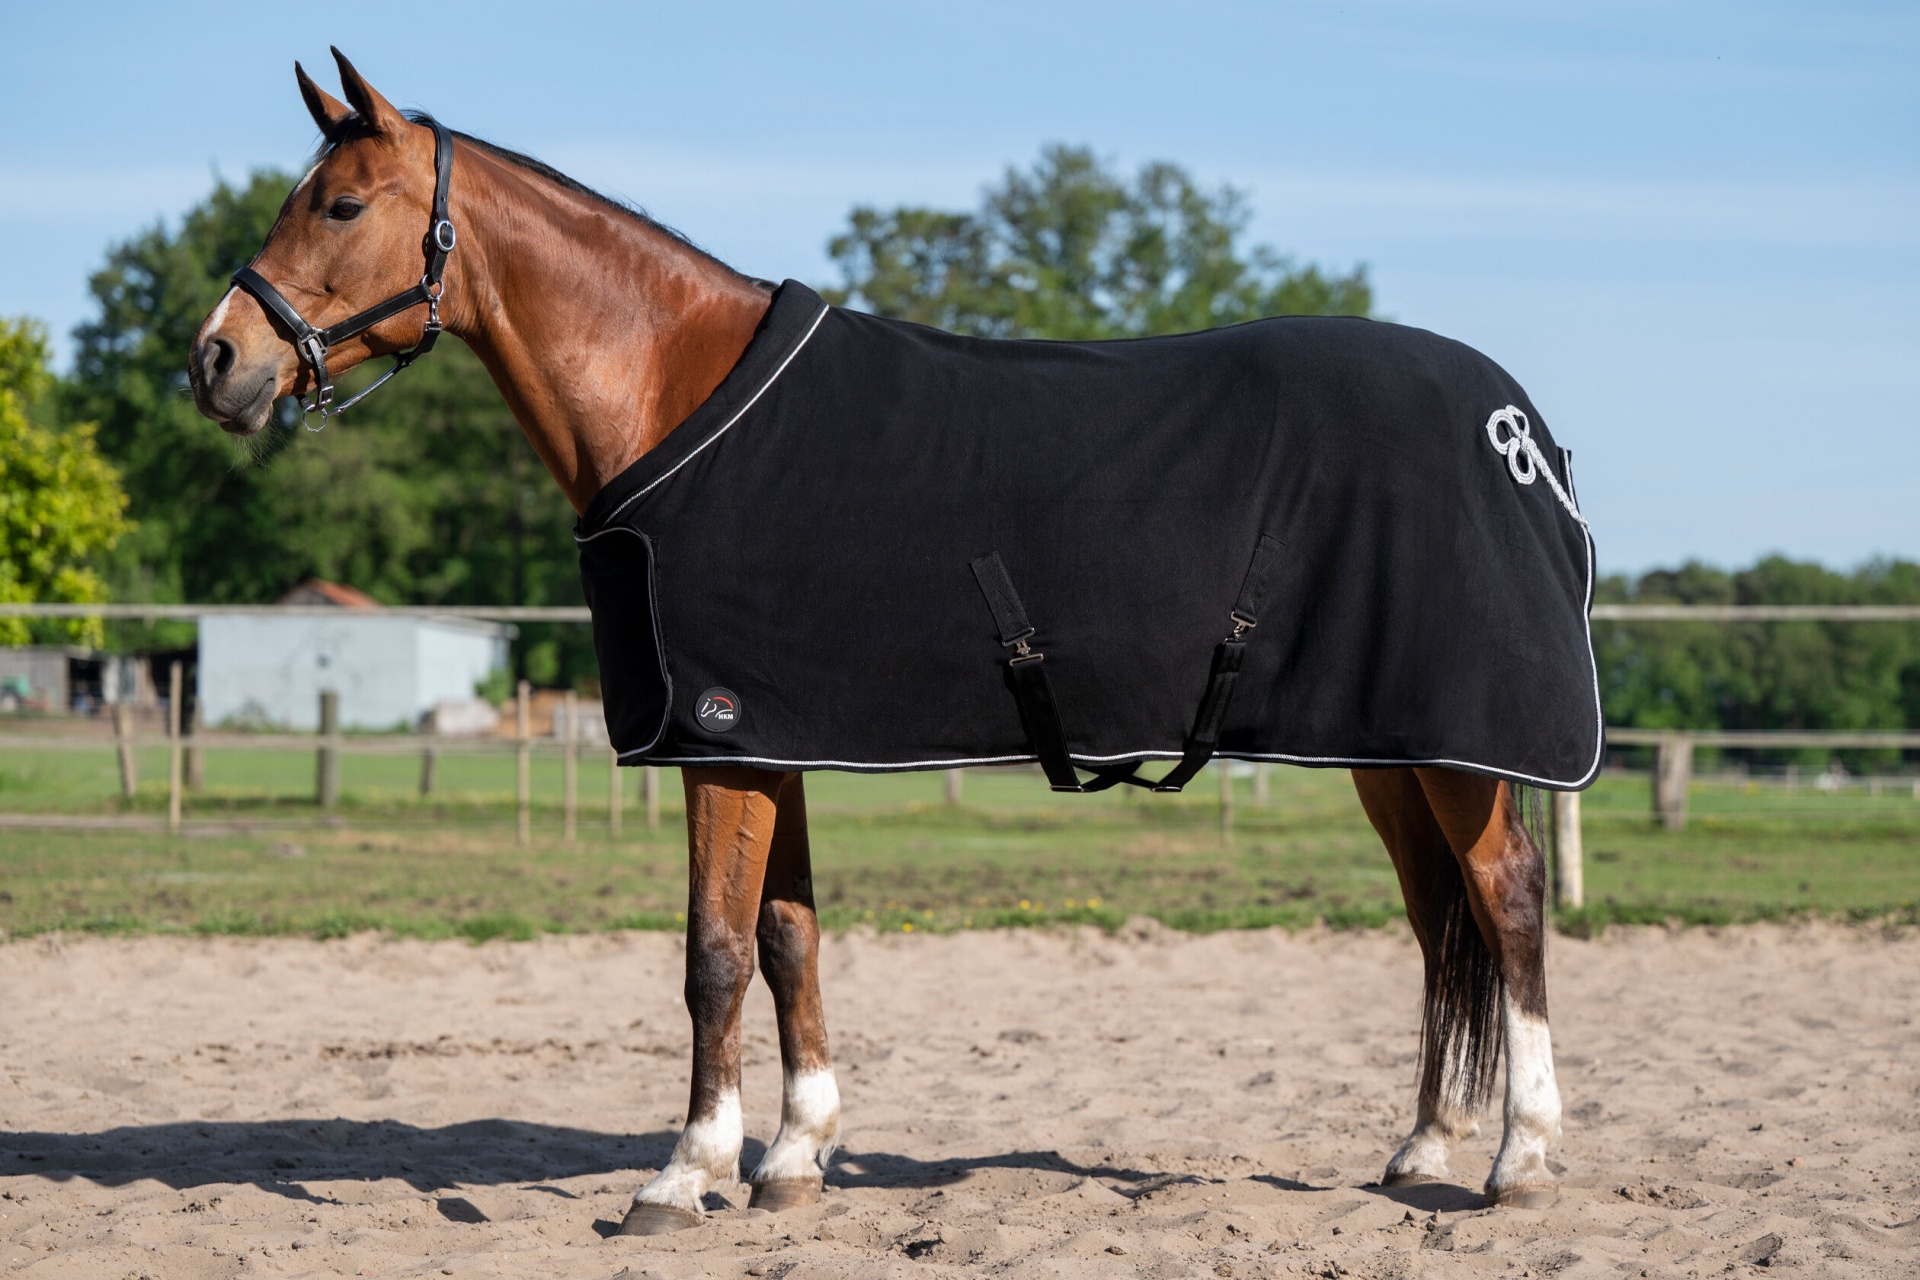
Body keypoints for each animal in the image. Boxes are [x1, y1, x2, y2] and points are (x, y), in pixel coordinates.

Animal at [188, 49, 1568, 1233]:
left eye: (341, 204)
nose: (217, 359)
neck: (673, 386)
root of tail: (1517, 427)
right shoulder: (768, 734)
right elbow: (788, 935)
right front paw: (794, 1156)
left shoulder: (722, 743)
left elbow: (712, 953)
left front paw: (683, 1172)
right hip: (1393, 748)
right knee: (1436, 915)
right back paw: (1424, 1144)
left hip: (1458, 748)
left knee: (1505, 897)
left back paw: (1521, 1157)